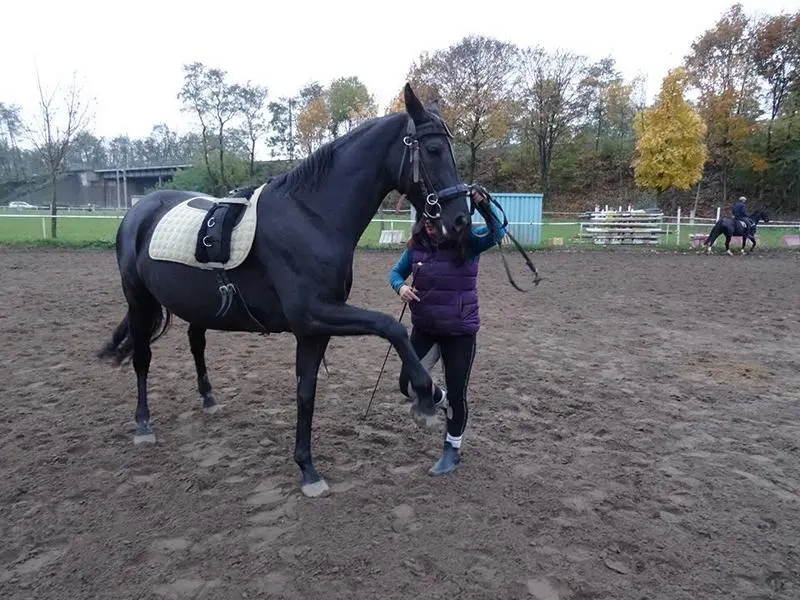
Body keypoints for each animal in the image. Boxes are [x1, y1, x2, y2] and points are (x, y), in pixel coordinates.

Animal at [97, 83, 478, 498]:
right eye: (433, 149)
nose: (461, 219)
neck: (311, 218)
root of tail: (140, 210)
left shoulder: (315, 328)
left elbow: (305, 392)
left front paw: (307, 468)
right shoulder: (313, 314)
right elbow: (389, 325)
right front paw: (429, 394)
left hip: (197, 305)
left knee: (196, 342)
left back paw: (208, 399)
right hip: (139, 301)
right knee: (142, 358)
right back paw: (143, 424)